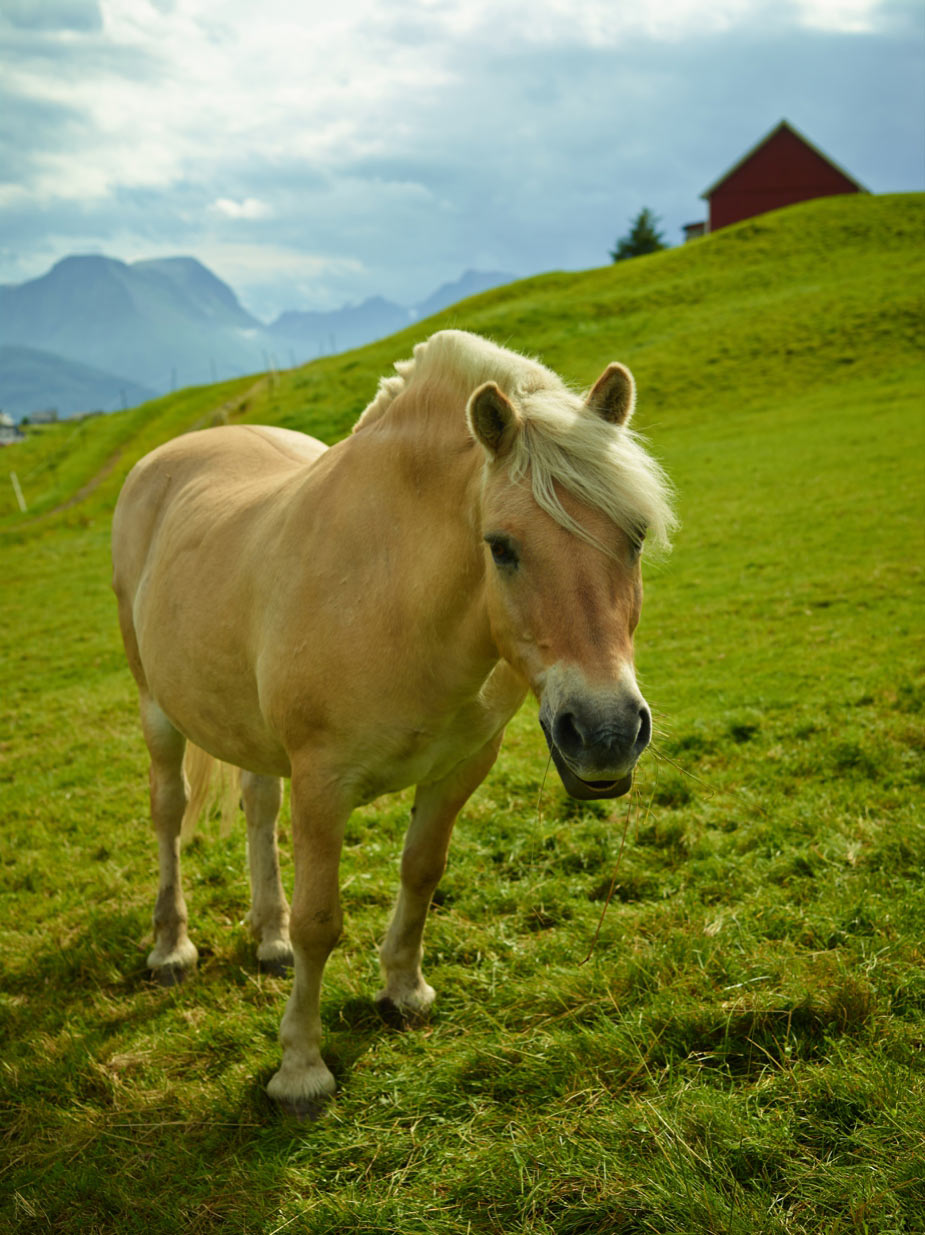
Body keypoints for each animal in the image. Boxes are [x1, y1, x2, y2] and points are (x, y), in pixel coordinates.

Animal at [111, 326, 671, 1111]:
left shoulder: (460, 767)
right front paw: (300, 1066)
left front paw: (403, 989)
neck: (395, 589)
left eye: (636, 535)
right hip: (157, 709)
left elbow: (421, 872)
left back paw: (267, 936)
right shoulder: (323, 784)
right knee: (168, 811)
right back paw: (171, 946)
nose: (606, 732)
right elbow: (321, 921)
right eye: (501, 546)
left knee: (257, 805)